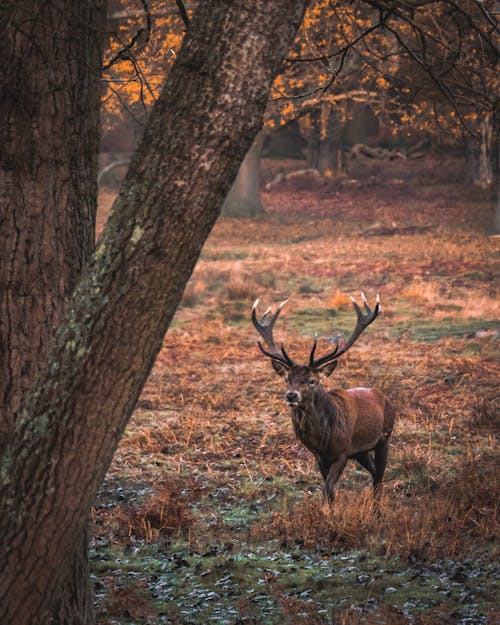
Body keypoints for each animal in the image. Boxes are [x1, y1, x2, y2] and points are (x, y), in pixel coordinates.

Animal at [252, 292, 396, 502]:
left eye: (312, 381)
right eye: (287, 379)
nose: (291, 395)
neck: (323, 439)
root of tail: (385, 397)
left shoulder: (342, 452)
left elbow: (328, 488)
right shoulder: (320, 457)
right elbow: (327, 489)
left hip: (385, 437)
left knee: (379, 476)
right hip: (360, 451)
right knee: (375, 472)